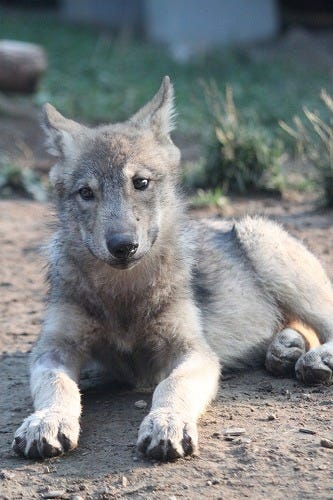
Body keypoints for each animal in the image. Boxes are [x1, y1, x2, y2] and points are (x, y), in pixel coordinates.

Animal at [11, 77, 332, 460]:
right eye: (86, 193)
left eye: (141, 183)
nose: (122, 245)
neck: (124, 293)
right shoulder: (54, 349)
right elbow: (57, 386)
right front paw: (46, 421)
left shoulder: (191, 351)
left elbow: (170, 386)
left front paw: (167, 424)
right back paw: (285, 349)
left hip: (263, 245)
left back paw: (313, 358)